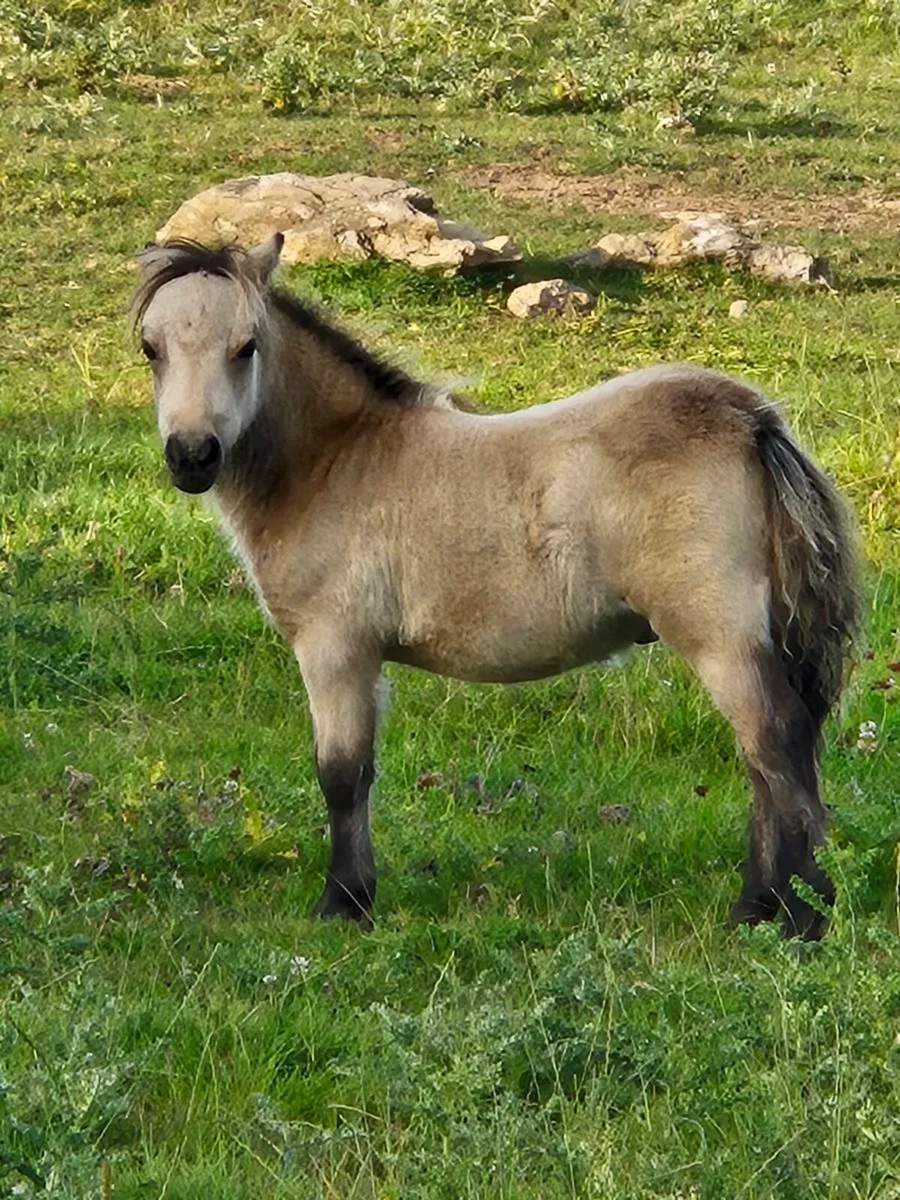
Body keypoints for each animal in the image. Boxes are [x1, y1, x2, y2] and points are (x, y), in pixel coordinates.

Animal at [133, 233, 859, 940]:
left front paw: (343, 903)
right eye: (151, 348)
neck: (336, 463)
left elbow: (342, 774)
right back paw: (756, 907)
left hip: (718, 632)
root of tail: (752, 420)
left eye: (246, 346)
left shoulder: (334, 647)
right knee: (766, 758)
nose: (192, 455)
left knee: (776, 743)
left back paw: (799, 915)